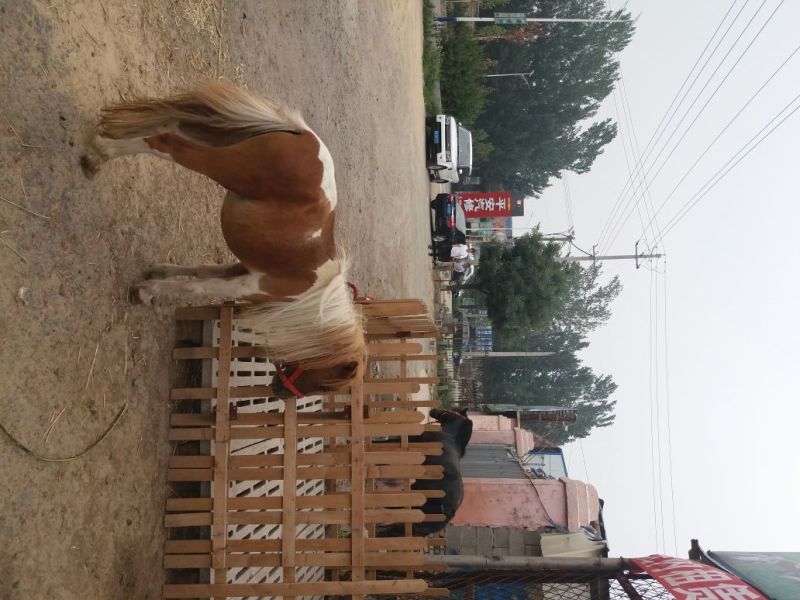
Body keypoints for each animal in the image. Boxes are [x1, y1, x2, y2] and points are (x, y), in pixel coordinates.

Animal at [81, 80, 366, 399]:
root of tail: (304, 135)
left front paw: (157, 273)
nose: (280, 391)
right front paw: (146, 292)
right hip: (221, 164)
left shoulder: (241, 268)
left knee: (172, 125)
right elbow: (198, 287)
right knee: (166, 143)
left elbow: (198, 271)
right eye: (325, 383)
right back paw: (98, 154)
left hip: (219, 144)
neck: (311, 290)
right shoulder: (247, 284)